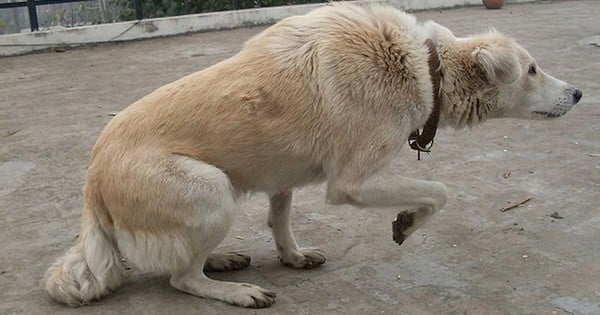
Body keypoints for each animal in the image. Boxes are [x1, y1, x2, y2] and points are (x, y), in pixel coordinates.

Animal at [45, 2, 580, 308]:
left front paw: (293, 256)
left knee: (183, 260)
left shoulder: (282, 174)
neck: (425, 68)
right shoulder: (353, 183)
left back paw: (222, 259)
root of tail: (91, 183)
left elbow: (280, 220)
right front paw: (407, 222)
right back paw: (233, 290)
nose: (577, 93)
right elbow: (439, 190)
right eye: (533, 69)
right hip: (211, 189)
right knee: (180, 277)